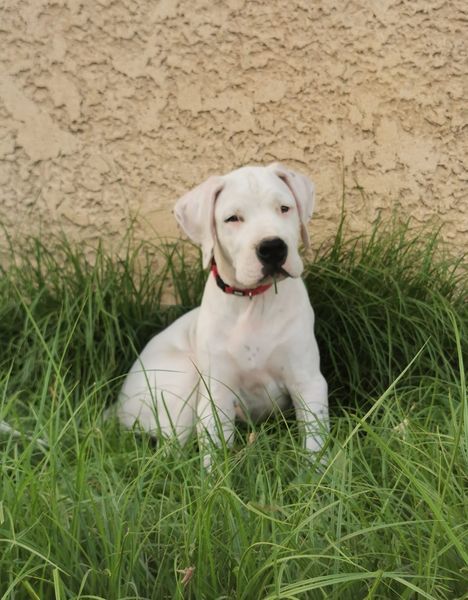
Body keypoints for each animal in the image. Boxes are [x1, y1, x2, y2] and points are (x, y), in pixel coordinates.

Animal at [113, 163, 328, 466]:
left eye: (284, 208)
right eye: (232, 219)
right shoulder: (217, 393)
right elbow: (214, 450)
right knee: (170, 452)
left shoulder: (307, 382)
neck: (253, 302)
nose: (273, 248)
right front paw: (214, 477)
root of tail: (115, 406)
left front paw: (317, 474)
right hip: (184, 378)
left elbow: (314, 442)